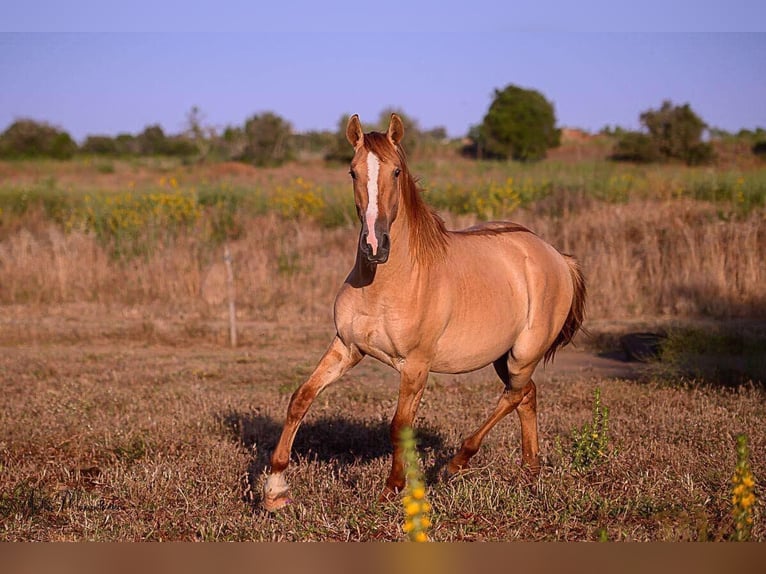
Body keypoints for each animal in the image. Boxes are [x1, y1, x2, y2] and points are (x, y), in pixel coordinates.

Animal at [260, 112, 584, 512]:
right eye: (352, 172)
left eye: (396, 171)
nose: (374, 246)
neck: (388, 283)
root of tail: (556, 256)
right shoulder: (346, 348)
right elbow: (300, 399)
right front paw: (275, 489)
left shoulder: (415, 365)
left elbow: (400, 424)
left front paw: (392, 489)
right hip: (502, 356)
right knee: (527, 395)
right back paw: (528, 473)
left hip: (525, 353)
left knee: (513, 395)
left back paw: (455, 464)